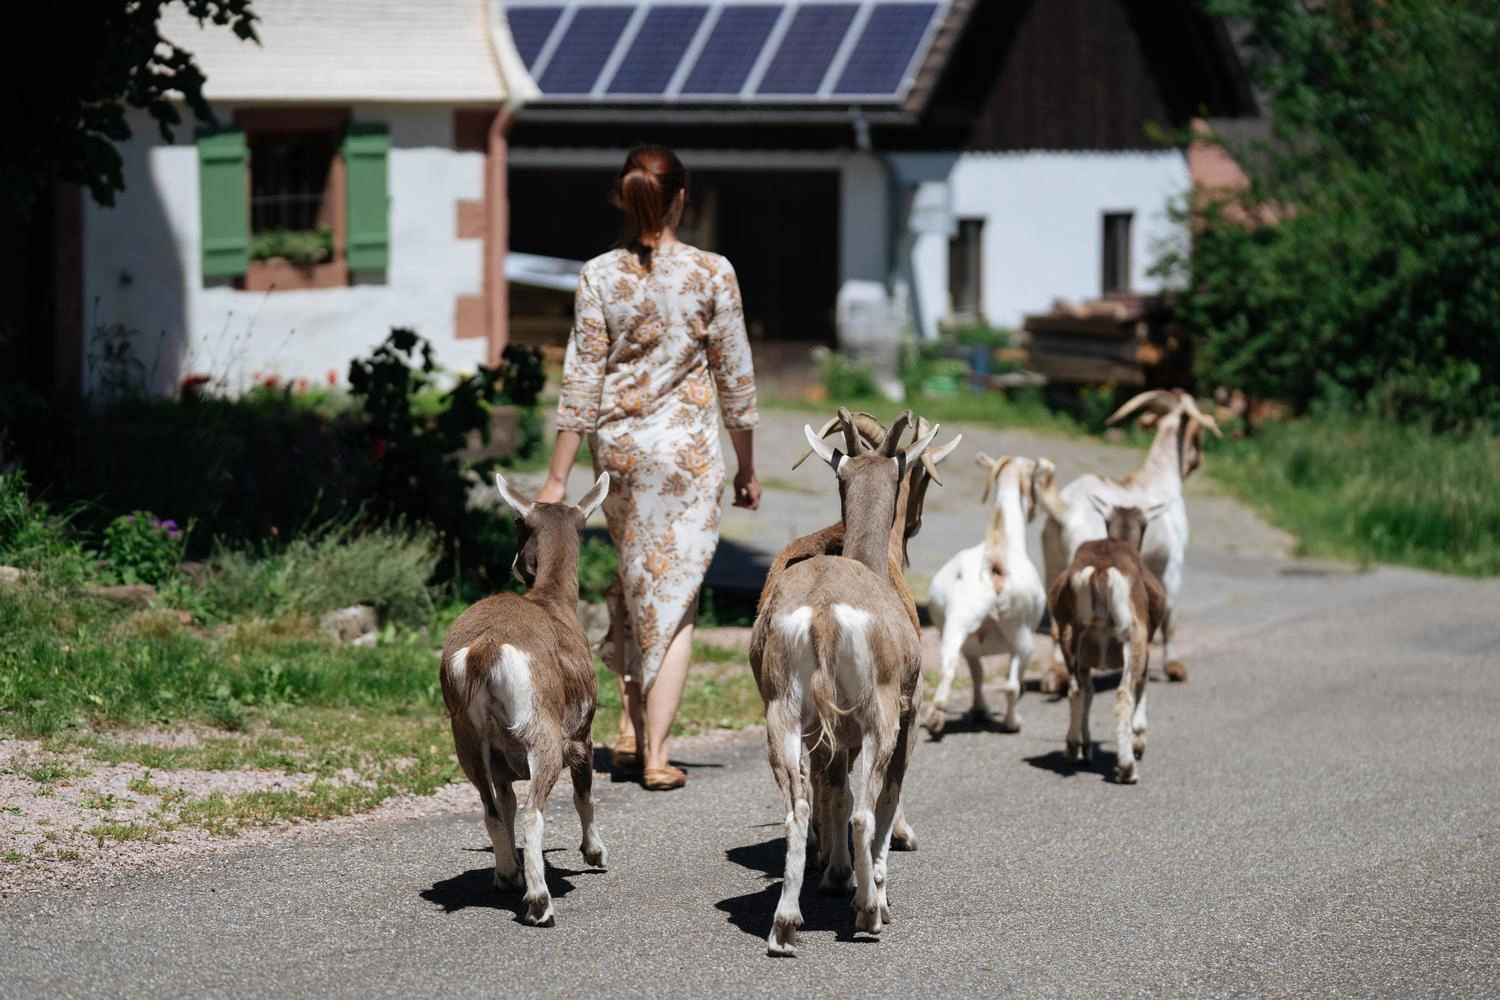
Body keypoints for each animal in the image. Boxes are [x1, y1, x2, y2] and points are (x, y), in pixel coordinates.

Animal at [439, 472, 610, 926]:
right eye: (519, 523)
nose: (514, 565)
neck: (554, 602)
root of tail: (485, 649)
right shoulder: (582, 734)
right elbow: (584, 795)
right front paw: (595, 853)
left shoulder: (500, 763)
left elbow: (507, 803)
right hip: (541, 730)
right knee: (536, 810)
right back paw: (539, 903)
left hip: (466, 738)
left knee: (492, 810)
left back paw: (506, 877)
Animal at [750, 409, 938, 956]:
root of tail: (821, 613)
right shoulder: (907, 719)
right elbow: (884, 801)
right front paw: (875, 893)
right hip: (878, 720)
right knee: (863, 813)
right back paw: (867, 914)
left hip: (784, 717)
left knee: (800, 809)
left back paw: (784, 927)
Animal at [926, 455, 1054, 735]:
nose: (1034, 510)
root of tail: (994, 562)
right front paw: (982, 710)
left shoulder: (972, 646)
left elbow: (977, 674)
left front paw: (978, 708)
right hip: (1022, 634)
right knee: (1012, 686)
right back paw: (1012, 722)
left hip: (958, 623)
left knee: (948, 666)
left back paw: (936, 715)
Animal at [1039, 389, 1221, 691]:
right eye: (1198, 434)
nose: (1198, 460)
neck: (1159, 478)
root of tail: (1064, 509)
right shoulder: (1172, 566)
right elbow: (1170, 618)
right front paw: (1174, 667)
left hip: (1052, 566)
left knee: (1057, 622)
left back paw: (1055, 675)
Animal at [1048, 503, 1167, 784]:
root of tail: (1100, 571)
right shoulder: (1145, 645)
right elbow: (1141, 685)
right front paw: (1138, 743)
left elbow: (1089, 691)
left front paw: (1086, 748)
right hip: (1132, 637)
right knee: (1124, 692)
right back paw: (1127, 769)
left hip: (1071, 636)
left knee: (1076, 688)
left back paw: (1073, 749)